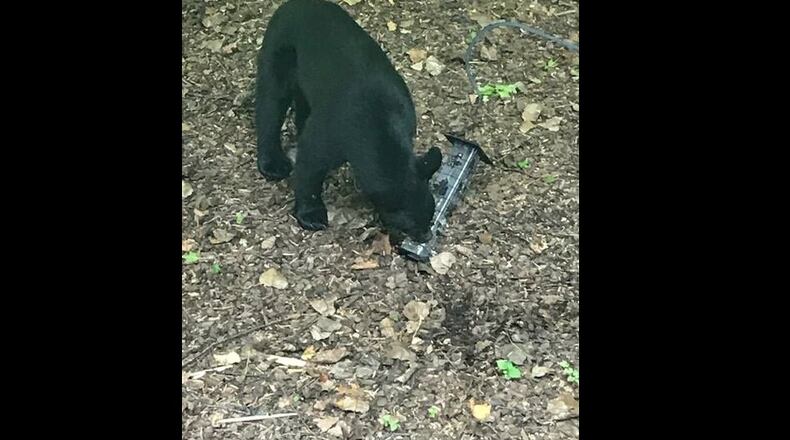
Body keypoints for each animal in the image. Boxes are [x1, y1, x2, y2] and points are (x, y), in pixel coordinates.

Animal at [254, 0, 442, 242]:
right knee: (271, 105)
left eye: (431, 213)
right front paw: (311, 214)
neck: (382, 128)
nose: (426, 236)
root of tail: (294, 4)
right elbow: (309, 167)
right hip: (278, 51)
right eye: (408, 223)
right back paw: (272, 163)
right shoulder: (330, 136)